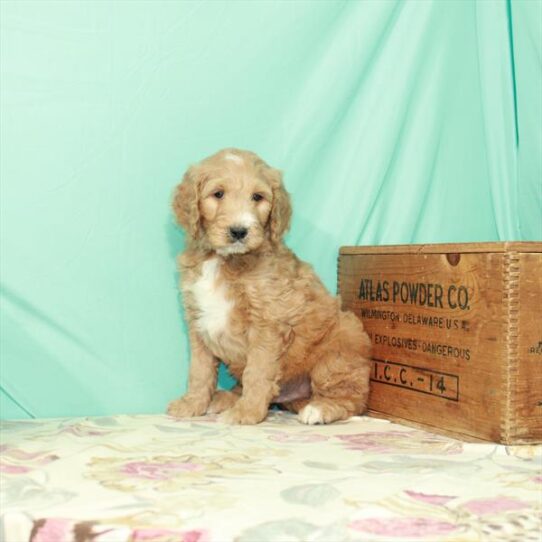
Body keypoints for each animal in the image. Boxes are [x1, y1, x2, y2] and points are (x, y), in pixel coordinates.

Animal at [169, 151, 374, 428]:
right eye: (218, 194)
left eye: (258, 197)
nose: (239, 231)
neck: (224, 260)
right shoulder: (197, 322)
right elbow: (199, 371)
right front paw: (192, 404)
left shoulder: (267, 322)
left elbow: (257, 371)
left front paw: (247, 413)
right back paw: (226, 398)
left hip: (340, 349)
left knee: (351, 399)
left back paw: (319, 409)